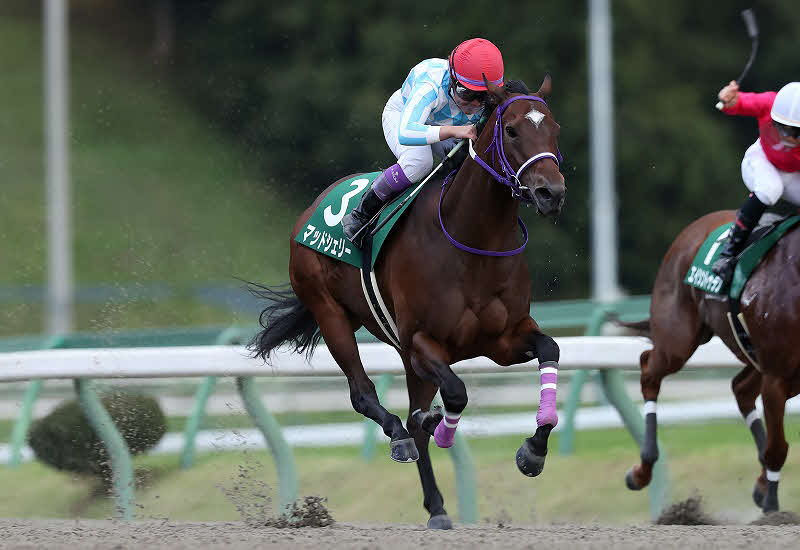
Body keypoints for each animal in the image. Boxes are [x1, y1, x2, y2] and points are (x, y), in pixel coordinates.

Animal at [248, 76, 566, 529]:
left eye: (554, 129)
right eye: (511, 130)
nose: (550, 192)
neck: (474, 241)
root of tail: (312, 208)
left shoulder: (503, 341)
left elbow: (549, 348)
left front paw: (534, 451)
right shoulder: (421, 341)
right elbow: (456, 393)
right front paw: (440, 427)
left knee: (415, 414)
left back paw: (436, 503)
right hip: (331, 312)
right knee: (365, 395)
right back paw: (402, 433)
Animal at [620, 209, 800, 513]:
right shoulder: (777, 376)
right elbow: (777, 449)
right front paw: (772, 511)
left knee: (741, 389)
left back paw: (762, 484)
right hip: (677, 341)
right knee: (648, 369)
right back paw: (642, 470)